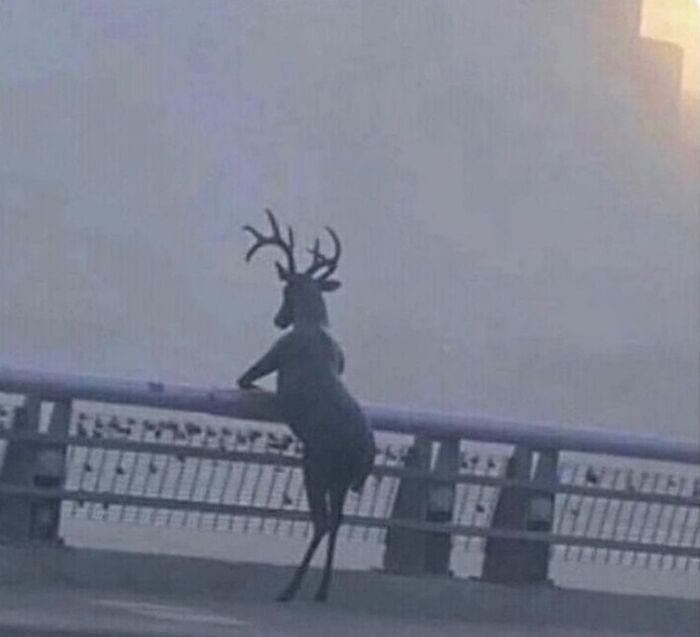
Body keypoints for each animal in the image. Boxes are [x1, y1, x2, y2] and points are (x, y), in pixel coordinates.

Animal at [237, 209, 375, 603]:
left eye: (286, 289)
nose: (278, 319)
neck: (313, 323)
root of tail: (363, 455)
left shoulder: (273, 356)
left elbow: (247, 379)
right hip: (339, 479)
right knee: (337, 521)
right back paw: (322, 590)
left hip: (318, 466)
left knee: (321, 521)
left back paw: (291, 588)